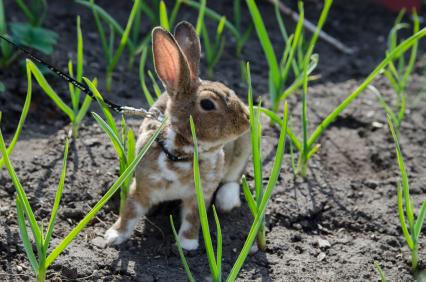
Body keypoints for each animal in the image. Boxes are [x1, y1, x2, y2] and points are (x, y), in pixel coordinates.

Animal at [105, 20, 251, 250]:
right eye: (207, 104)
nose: (246, 119)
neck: (180, 154)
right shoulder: (141, 187)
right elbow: (129, 212)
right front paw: (113, 236)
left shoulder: (199, 195)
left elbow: (193, 218)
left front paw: (187, 245)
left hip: (243, 149)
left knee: (234, 177)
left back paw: (226, 201)